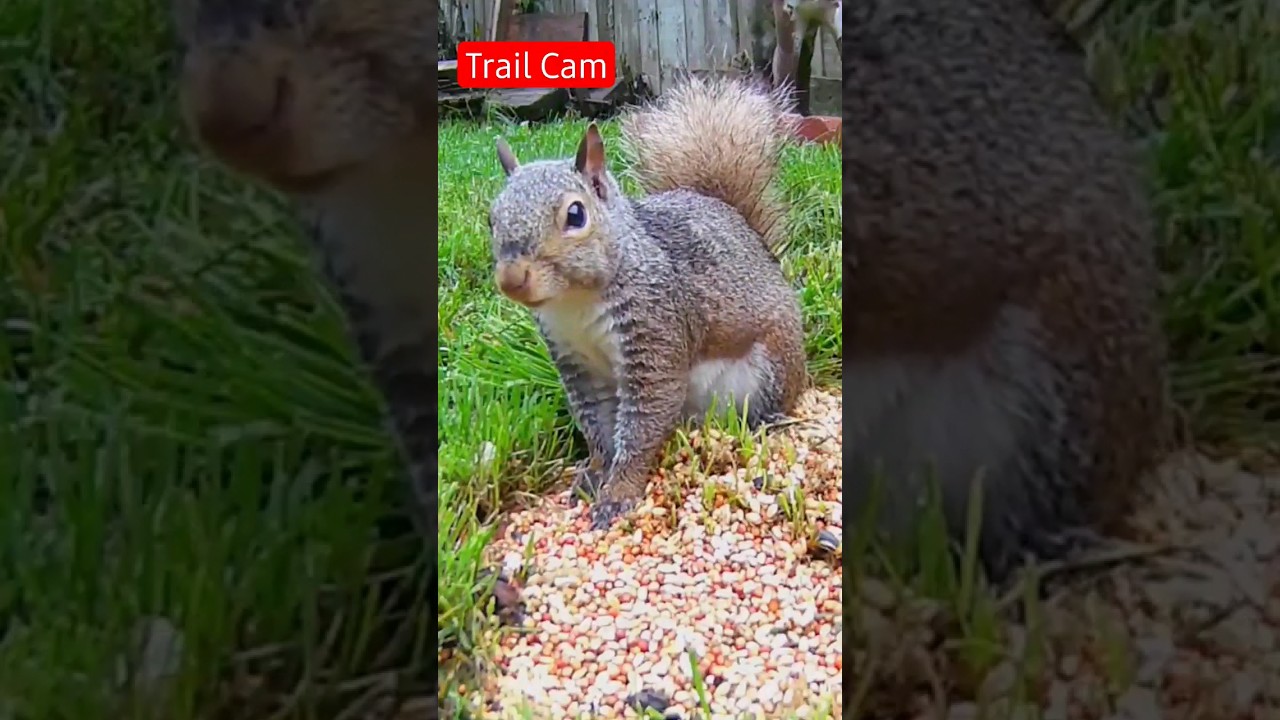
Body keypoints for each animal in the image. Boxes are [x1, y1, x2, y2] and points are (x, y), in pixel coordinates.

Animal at [488, 76, 809, 530]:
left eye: (576, 215)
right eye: (491, 218)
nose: (512, 279)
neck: (576, 303)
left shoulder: (654, 331)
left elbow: (643, 422)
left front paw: (619, 492)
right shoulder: (575, 361)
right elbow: (596, 424)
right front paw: (595, 472)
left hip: (769, 371)